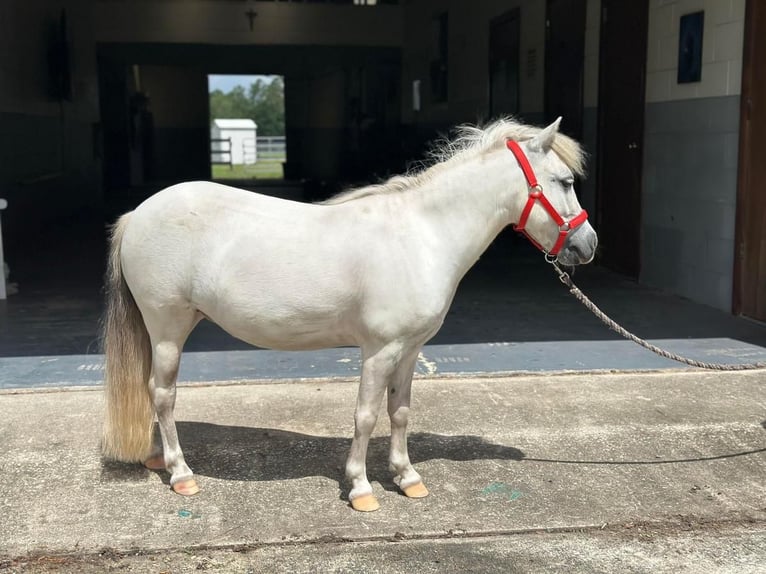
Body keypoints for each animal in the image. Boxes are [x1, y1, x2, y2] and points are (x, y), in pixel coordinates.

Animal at [102, 117, 596, 512]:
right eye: (565, 181)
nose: (587, 245)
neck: (422, 235)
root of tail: (138, 213)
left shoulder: (410, 351)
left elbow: (400, 411)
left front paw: (407, 478)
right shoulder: (380, 350)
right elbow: (366, 415)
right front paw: (361, 489)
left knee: (151, 390)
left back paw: (157, 459)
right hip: (169, 327)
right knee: (163, 394)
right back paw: (182, 474)